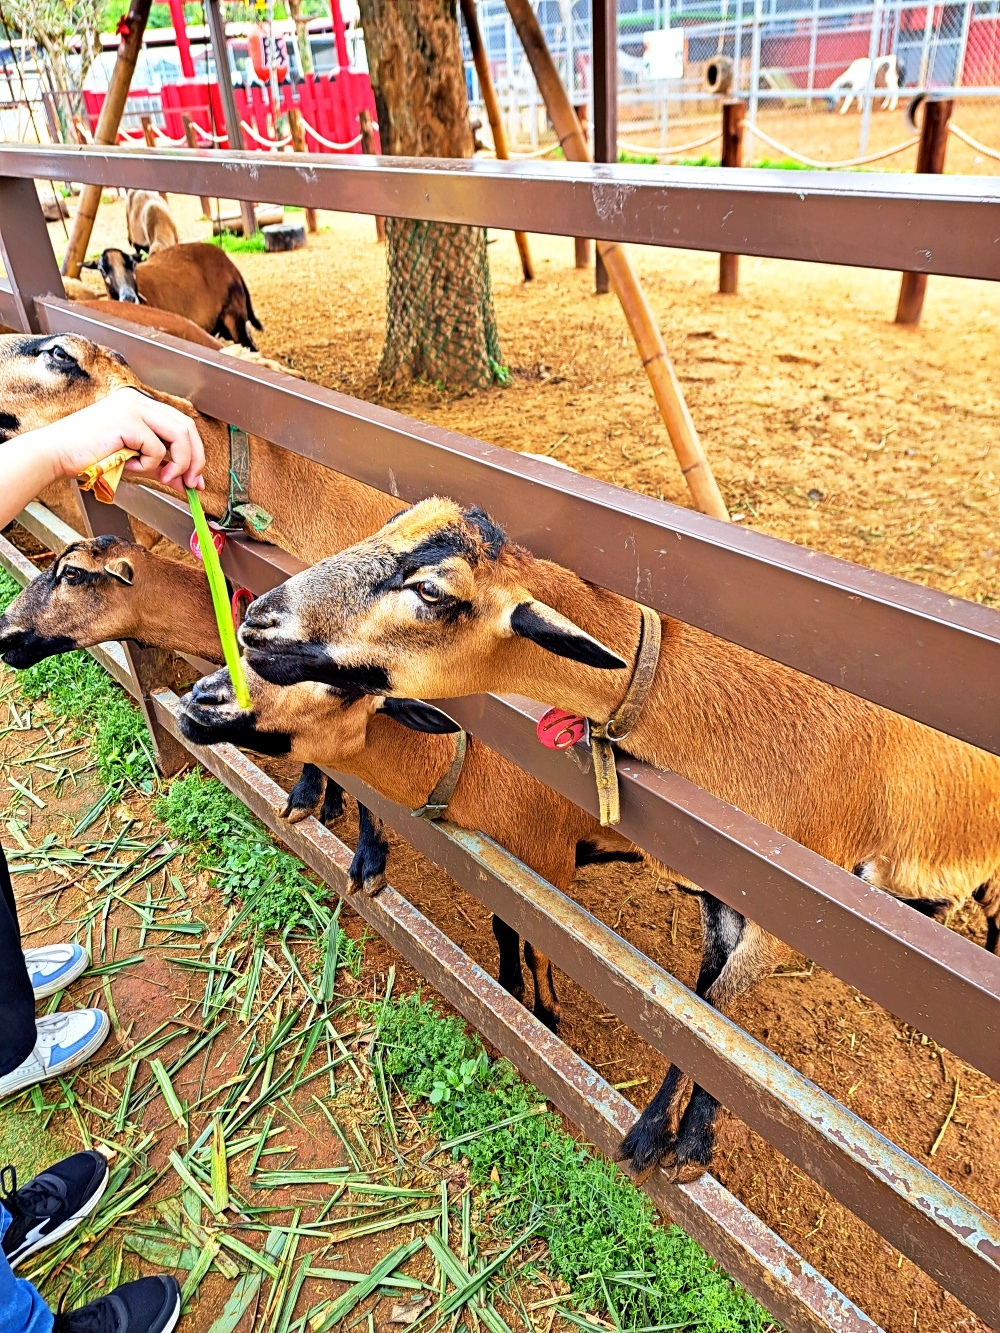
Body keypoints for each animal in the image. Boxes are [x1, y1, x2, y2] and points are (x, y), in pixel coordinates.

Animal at [238, 498, 1000, 1178]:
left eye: (432, 591)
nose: (254, 619)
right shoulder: (720, 897)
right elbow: (703, 1018)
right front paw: (676, 1133)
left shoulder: (793, 915)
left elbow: (717, 1014)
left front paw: (666, 1141)